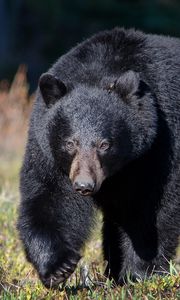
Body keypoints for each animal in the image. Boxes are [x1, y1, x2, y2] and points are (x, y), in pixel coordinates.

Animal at [17, 28, 180, 288]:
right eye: (70, 142)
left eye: (104, 144)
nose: (84, 185)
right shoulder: (48, 151)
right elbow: (50, 197)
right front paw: (58, 266)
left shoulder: (158, 147)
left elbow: (154, 208)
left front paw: (139, 274)